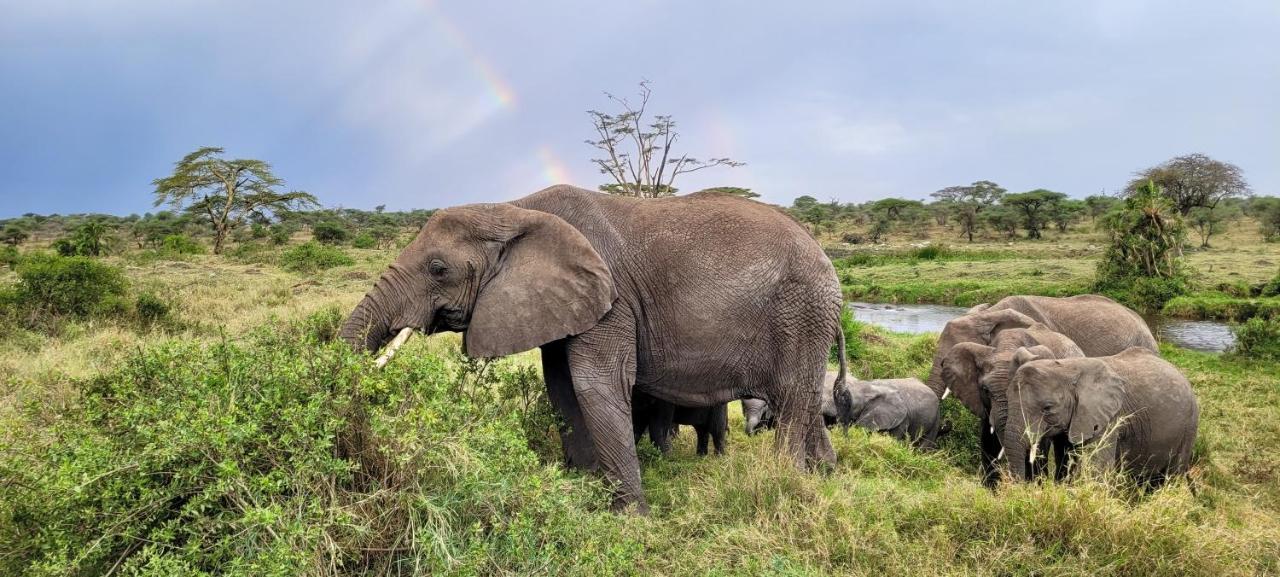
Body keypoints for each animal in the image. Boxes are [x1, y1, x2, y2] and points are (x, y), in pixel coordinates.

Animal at [337, 184, 849, 511]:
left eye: (438, 268)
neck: (514, 209)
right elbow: (561, 388)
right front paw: (584, 489)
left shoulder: (612, 300)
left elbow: (595, 385)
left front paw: (631, 518)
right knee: (804, 402)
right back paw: (827, 477)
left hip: (799, 314)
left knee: (790, 401)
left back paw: (786, 485)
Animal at [936, 322, 1085, 486]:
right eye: (985, 390)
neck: (1007, 347)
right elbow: (988, 442)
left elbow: (1039, 447)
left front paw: (1035, 486)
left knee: (1067, 448)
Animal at [1008, 347, 1198, 488]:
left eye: (1047, 408)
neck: (1068, 368)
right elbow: (1066, 461)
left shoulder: (1109, 418)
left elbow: (1098, 469)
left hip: (1189, 426)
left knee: (1172, 476)